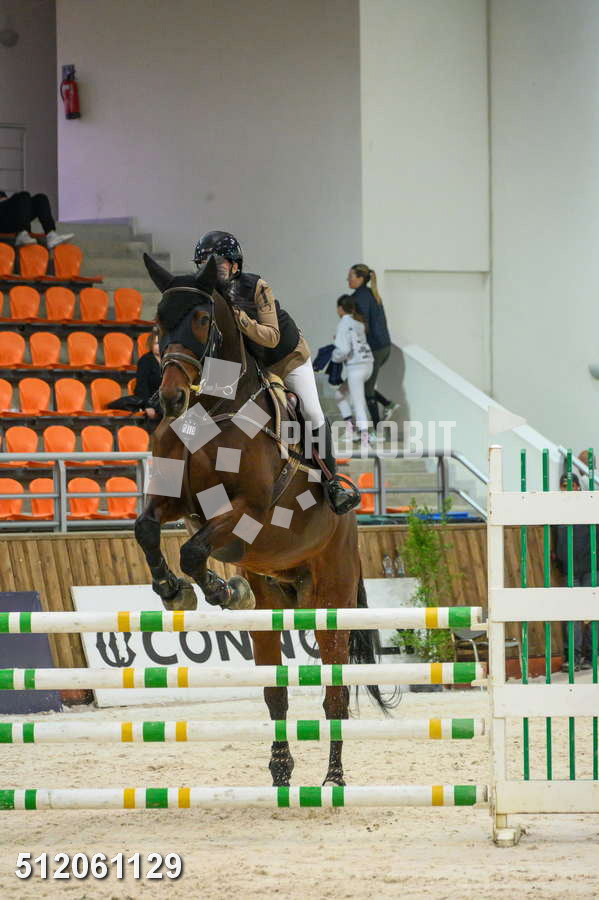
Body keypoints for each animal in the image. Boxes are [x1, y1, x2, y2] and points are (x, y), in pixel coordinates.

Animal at [134, 253, 394, 786]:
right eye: (156, 324)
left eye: (201, 319)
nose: (169, 400)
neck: (211, 412)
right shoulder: (176, 502)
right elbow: (148, 529)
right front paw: (175, 590)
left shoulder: (248, 511)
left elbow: (193, 549)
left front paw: (217, 589)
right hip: (273, 601)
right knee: (276, 692)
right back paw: (280, 771)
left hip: (331, 599)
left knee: (335, 695)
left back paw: (333, 780)